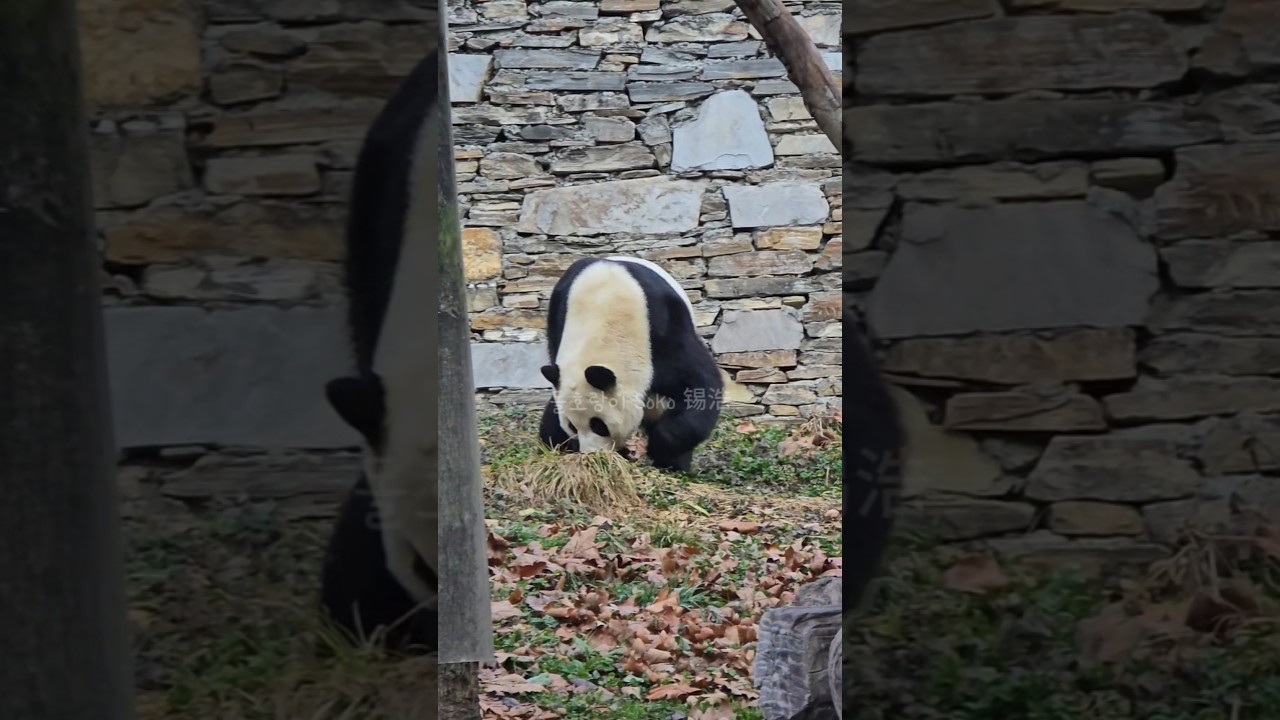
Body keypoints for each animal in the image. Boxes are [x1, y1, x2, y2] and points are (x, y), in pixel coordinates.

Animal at [537, 256, 723, 474]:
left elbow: (698, 385)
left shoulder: (663, 329)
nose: (591, 454)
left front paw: (658, 448)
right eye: (572, 426)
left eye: (599, 425)